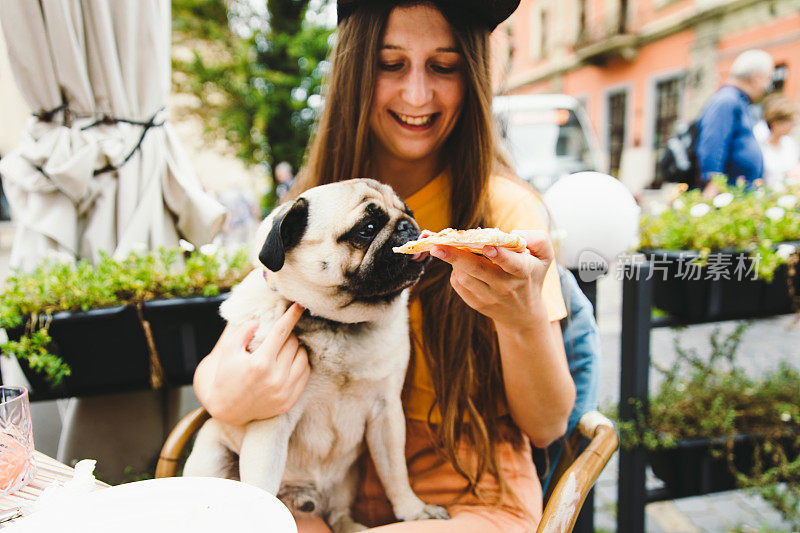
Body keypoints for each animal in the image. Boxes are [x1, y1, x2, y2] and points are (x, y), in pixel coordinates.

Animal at [184, 179, 450, 532]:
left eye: (409, 212)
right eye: (367, 228)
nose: (408, 226)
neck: (338, 325)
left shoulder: (387, 413)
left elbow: (395, 473)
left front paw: (414, 510)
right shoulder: (272, 424)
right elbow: (261, 484)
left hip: (347, 480)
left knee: (338, 513)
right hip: (211, 455)